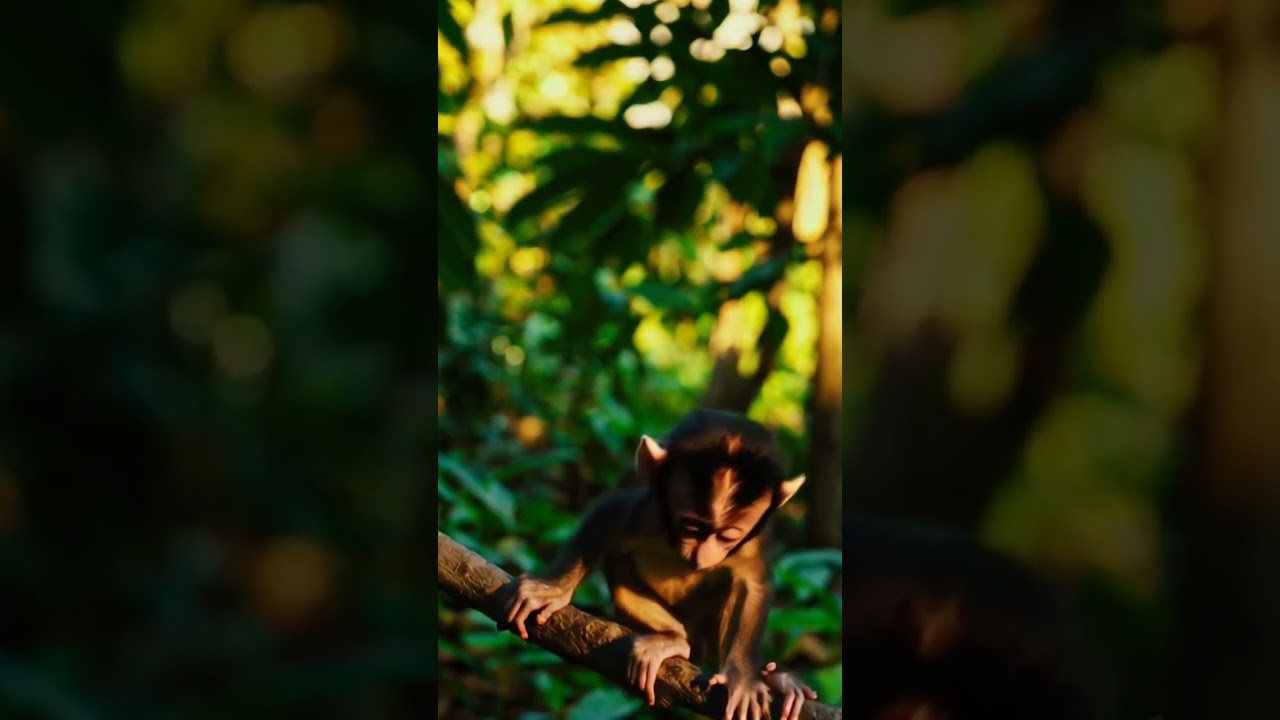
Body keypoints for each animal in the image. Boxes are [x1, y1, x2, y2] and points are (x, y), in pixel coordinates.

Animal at [503, 409, 818, 720]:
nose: (701, 558)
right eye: (691, 528)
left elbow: (752, 583)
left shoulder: (751, 543)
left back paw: (776, 679)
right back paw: (672, 638)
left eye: (728, 536)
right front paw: (552, 589)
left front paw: (743, 677)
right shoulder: (649, 512)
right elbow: (607, 514)